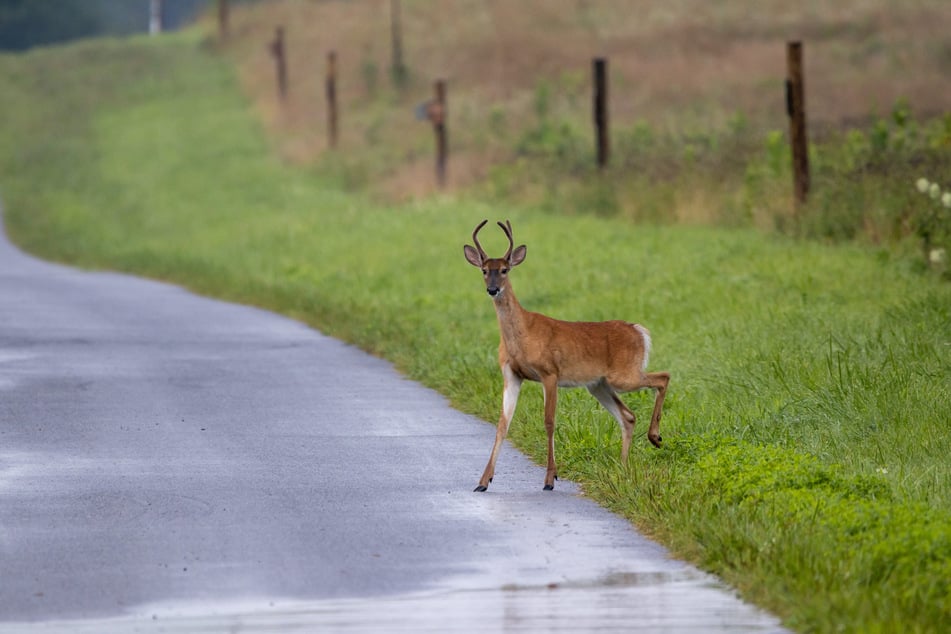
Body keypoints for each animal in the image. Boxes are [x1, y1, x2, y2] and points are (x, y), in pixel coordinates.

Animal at [464, 220, 670, 492]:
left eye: (505, 269)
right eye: (485, 270)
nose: (493, 289)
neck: (523, 334)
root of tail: (639, 330)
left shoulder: (549, 372)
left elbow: (549, 421)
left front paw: (550, 479)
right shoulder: (511, 375)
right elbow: (502, 424)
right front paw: (483, 481)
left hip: (624, 375)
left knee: (663, 377)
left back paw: (655, 437)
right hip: (599, 384)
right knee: (628, 416)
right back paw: (624, 468)